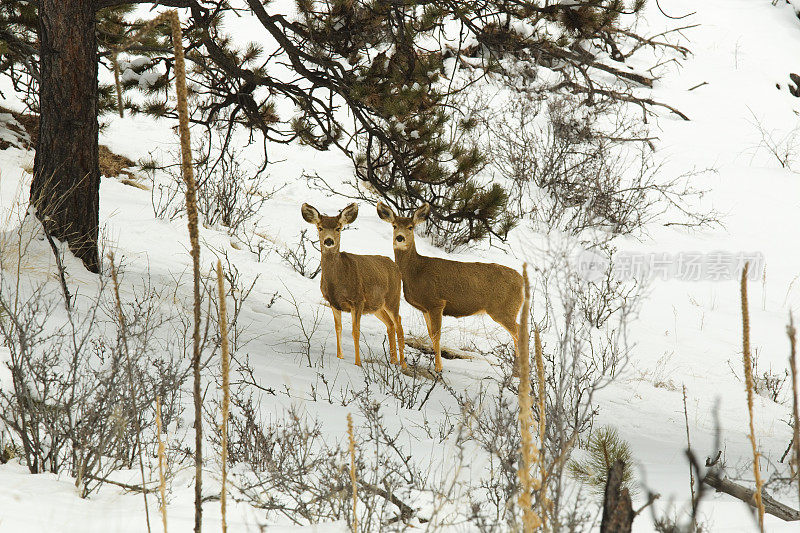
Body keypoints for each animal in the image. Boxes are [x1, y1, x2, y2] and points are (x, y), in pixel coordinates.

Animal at [302, 202, 406, 368]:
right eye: (320, 227)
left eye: (338, 228)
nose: (329, 241)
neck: (338, 281)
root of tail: (395, 266)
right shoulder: (333, 302)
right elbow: (338, 328)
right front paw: (340, 357)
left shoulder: (358, 300)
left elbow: (355, 331)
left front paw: (358, 364)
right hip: (376, 306)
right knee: (390, 325)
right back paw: (393, 361)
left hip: (392, 298)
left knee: (399, 324)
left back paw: (403, 364)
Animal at [376, 202, 524, 372]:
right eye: (394, 226)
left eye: (410, 227)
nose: (400, 238)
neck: (416, 271)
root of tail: (521, 281)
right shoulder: (425, 308)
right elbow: (431, 334)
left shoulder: (436, 302)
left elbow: (436, 335)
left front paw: (438, 368)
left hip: (504, 309)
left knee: (519, 331)